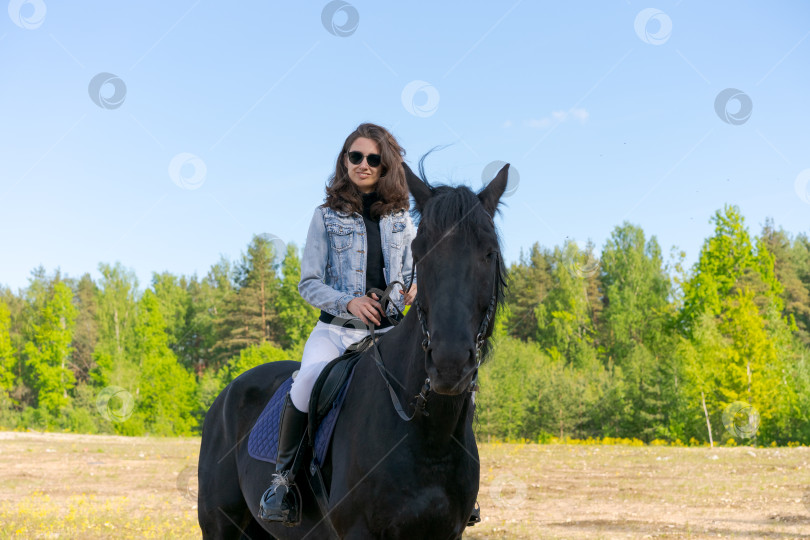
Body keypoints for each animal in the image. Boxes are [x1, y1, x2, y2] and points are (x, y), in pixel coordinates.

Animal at [197, 161, 504, 540]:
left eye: (489, 252)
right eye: (420, 252)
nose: (449, 364)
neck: (430, 432)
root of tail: (228, 392)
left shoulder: (449, 532)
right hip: (220, 525)